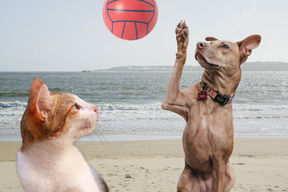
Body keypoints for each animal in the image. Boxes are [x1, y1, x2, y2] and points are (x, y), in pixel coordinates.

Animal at [162, 21, 260, 192]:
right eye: (211, 43)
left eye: (225, 46)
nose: (199, 44)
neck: (212, 94)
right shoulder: (170, 99)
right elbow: (179, 61)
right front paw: (182, 40)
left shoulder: (219, 159)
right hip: (185, 177)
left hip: (229, 171)